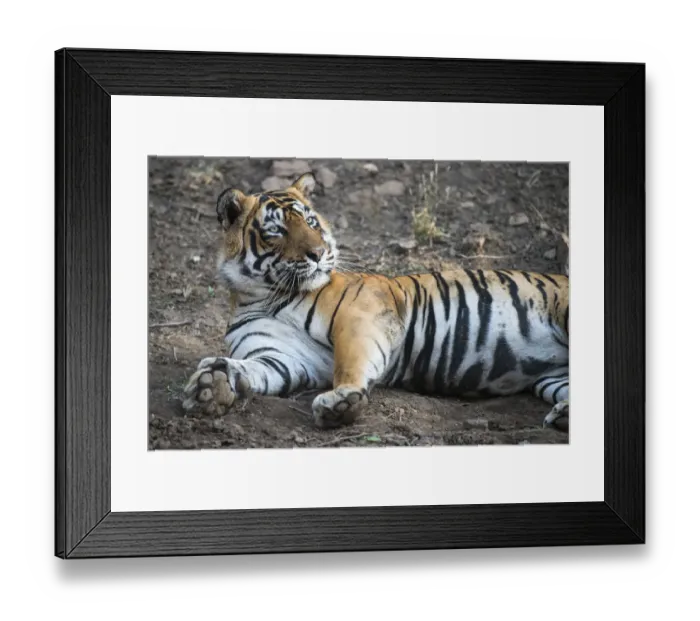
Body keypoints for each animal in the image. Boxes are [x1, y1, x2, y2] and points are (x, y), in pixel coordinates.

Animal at [182, 172, 570, 430]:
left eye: (311, 222)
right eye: (276, 231)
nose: (318, 254)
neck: (266, 295)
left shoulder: (360, 317)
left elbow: (349, 364)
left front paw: (341, 401)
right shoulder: (283, 357)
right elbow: (252, 369)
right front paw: (210, 385)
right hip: (553, 379)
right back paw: (563, 416)